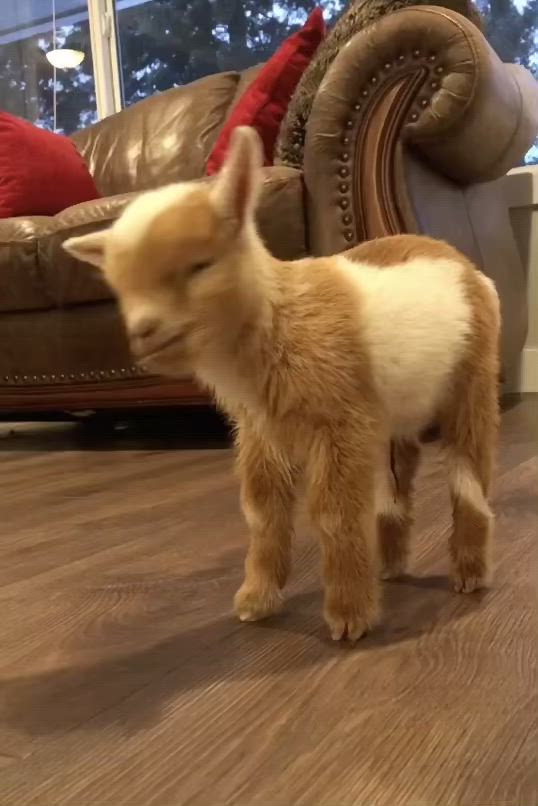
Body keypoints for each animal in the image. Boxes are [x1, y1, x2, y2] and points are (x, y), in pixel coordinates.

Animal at [65, 126, 500, 644]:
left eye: (200, 265)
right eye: (119, 287)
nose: (144, 331)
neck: (279, 315)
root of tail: (465, 265)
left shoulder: (340, 425)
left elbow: (335, 515)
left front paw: (349, 617)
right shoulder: (261, 431)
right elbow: (263, 514)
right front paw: (256, 600)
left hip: (472, 380)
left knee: (467, 476)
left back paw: (470, 574)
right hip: (396, 411)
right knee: (395, 483)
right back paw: (390, 566)